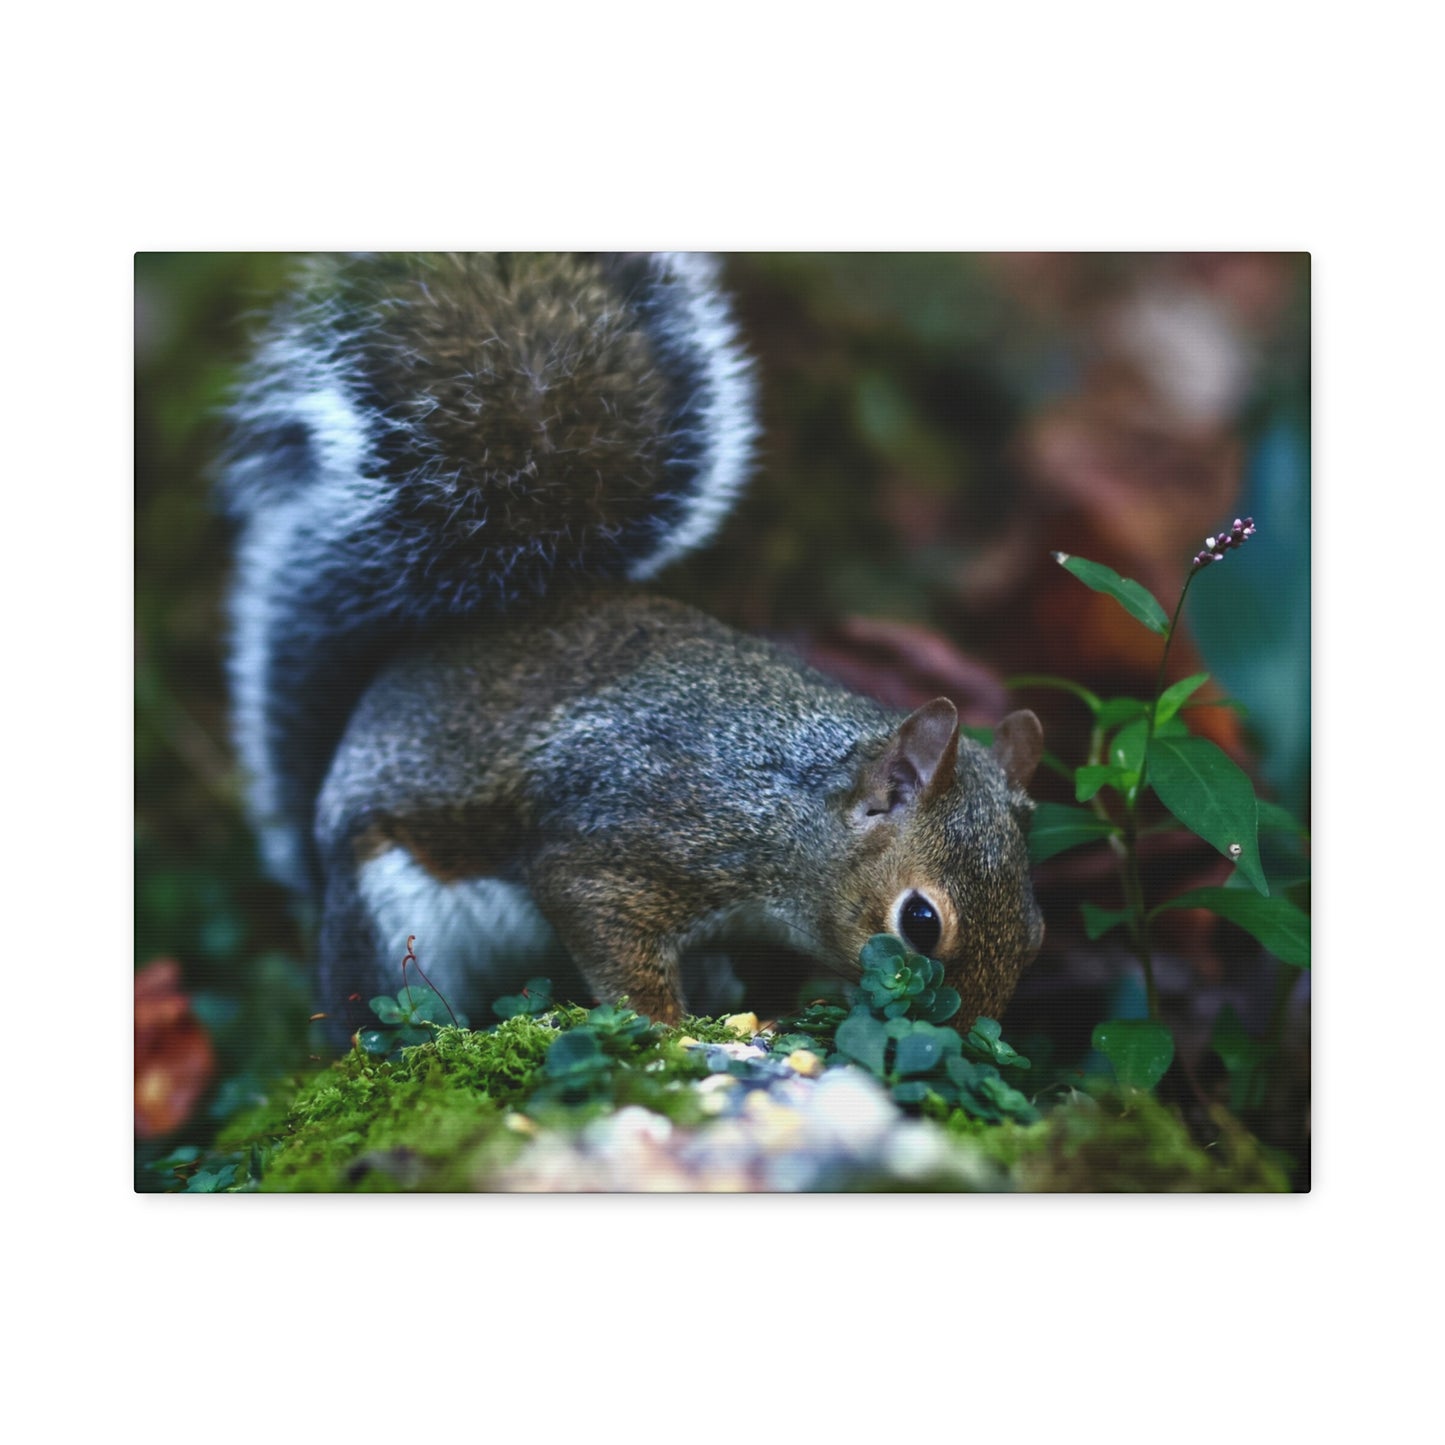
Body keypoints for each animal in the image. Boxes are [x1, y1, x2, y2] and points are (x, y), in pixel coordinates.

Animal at [222, 252, 1045, 1039]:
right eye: (920, 921)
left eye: (1035, 930)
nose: (969, 1032)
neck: (792, 804)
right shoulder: (631, 836)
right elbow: (600, 922)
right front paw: (662, 1027)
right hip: (390, 914)